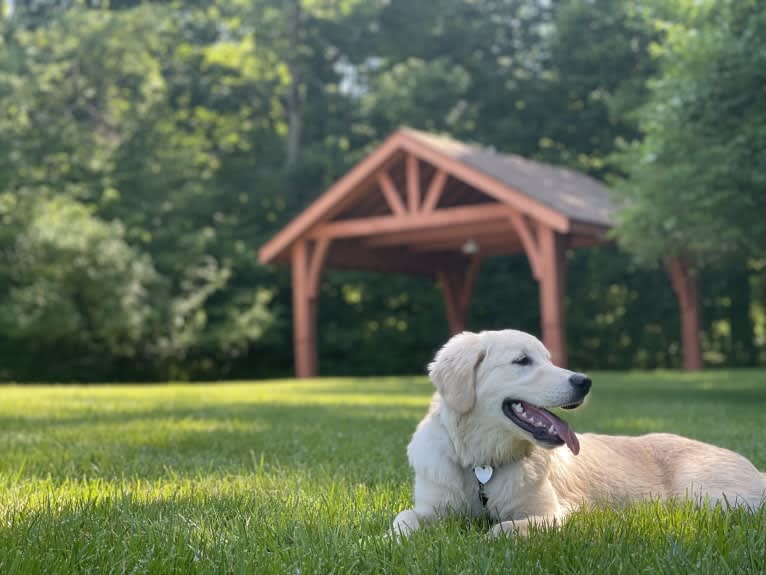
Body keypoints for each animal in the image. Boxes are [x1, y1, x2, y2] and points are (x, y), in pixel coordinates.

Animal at [392, 330, 766, 536]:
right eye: (522, 361)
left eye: (549, 359)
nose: (584, 381)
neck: (483, 464)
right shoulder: (433, 506)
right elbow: (402, 520)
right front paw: (388, 539)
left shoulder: (554, 513)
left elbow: (503, 529)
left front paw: (490, 536)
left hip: (705, 496)